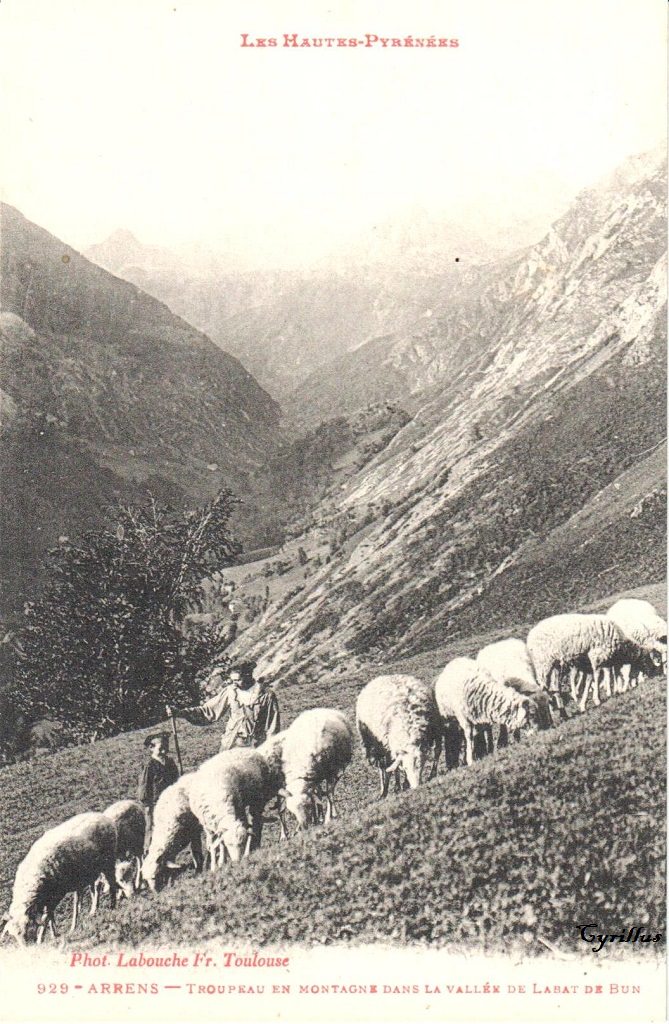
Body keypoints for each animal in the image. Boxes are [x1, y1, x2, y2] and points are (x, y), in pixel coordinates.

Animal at [1, 812, 117, 944]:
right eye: (14, 936)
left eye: (27, 928)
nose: (28, 948)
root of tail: (101, 816)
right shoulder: (47, 898)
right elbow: (50, 916)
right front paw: (54, 934)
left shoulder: (56, 895)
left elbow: (48, 916)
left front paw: (42, 938)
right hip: (93, 870)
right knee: (96, 887)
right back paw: (93, 911)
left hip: (108, 861)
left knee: (112, 881)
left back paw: (113, 906)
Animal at [527, 613, 658, 713]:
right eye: (648, 659)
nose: (653, 674)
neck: (621, 648)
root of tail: (531, 634)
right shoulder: (597, 657)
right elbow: (597, 677)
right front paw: (597, 698)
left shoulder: (592, 663)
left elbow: (592, 680)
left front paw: (584, 704)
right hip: (543, 664)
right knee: (543, 687)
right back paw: (551, 709)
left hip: (556, 665)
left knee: (553, 687)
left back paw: (562, 710)